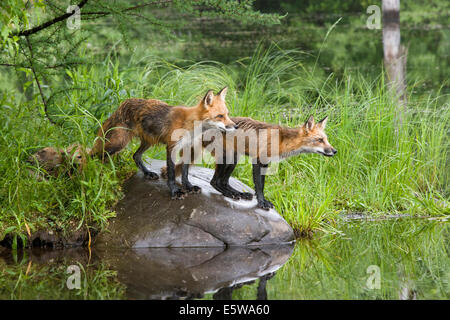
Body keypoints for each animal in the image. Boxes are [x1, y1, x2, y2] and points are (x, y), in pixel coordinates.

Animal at [92, 86, 239, 199]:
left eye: (227, 114)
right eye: (220, 116)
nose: (236, 126)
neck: (190, 125)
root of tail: (123, 104)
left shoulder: (187, 147)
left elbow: (185, 172)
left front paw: (188, 186)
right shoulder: (172, 147)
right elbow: (172, 173)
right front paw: (175, 191)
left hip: (148, 141)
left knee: (135, 155)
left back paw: (147, 173)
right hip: (118, 143)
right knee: (95, 155)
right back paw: (95, 172)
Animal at [161, 115, 334, 210]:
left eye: (326, 139)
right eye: (319, 140)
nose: (334, 151)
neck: (282, 141)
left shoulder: (265, 163)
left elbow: (259, 186)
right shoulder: (259, 161)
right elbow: (260, 186)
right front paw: (262, 203)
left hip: (234, 158)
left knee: (222, 181)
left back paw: (237, 193)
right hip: (227, 157)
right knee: (214, 181)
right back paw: (229, 194)